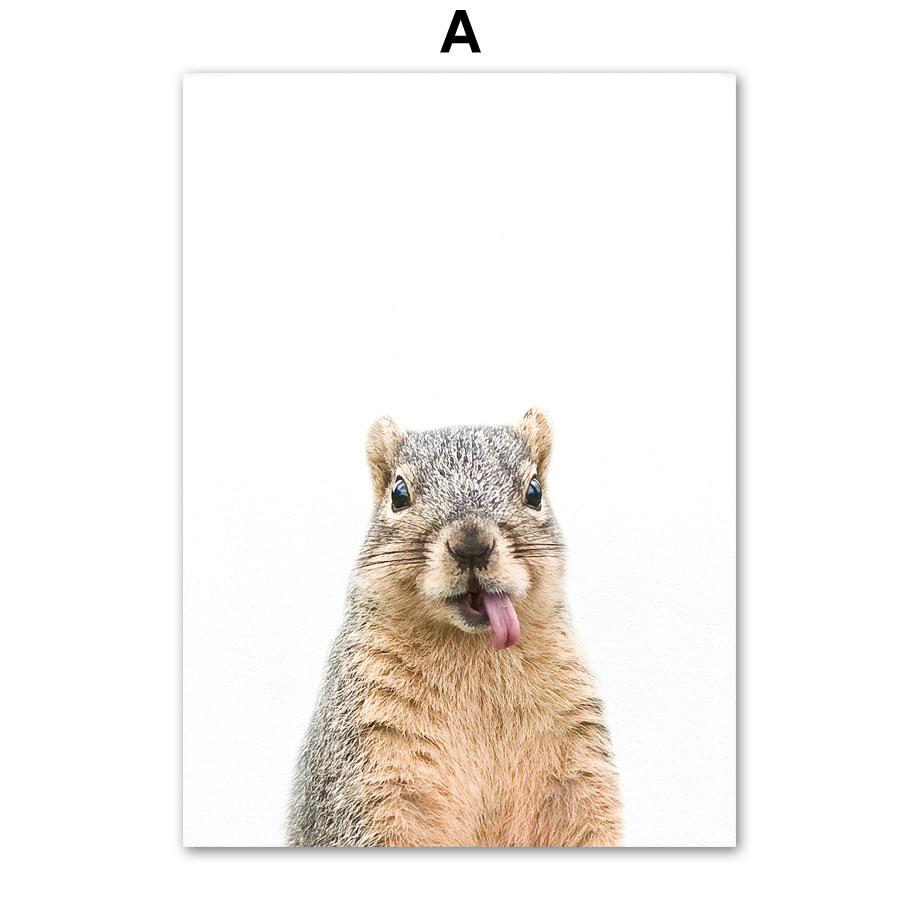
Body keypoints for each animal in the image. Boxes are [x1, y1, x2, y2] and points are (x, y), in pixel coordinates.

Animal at [285, 409, 622, 847]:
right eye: (398, 494)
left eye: (534, 491)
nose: (472, 546)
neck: (476, 651)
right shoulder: (367, 768)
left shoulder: (579, 770)